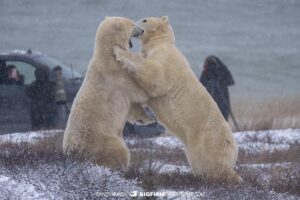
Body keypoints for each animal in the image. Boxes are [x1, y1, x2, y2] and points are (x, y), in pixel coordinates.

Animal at [62, 17, 149, 170]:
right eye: (133, 24)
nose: (142, 30)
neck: (107, 56)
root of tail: (74, 153)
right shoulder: (120, 76)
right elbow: (139, 93)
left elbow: (132, 107)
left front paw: (144, 119)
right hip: (104, 140)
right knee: (119, 150)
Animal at [113, 16, 243, 181]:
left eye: (144, 20)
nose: (133, 25)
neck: (161, 42)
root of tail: (233, 151)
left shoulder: (165, 59)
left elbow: (156, 78)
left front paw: (120, 52)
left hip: (206, 139)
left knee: (206, 161)